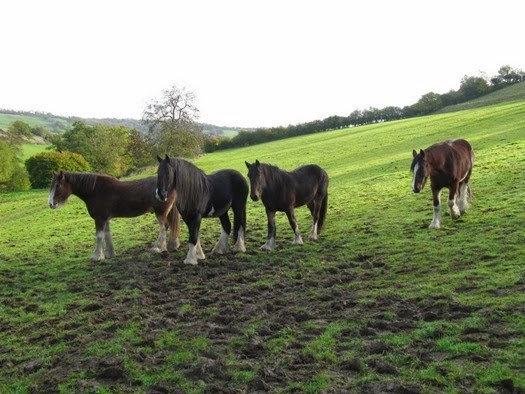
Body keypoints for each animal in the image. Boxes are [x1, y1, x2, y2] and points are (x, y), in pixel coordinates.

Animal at [49, 172, 180, 262]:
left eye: (58, 186)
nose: (51, 204)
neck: (95, 190)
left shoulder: (100, 219)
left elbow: (99, 236)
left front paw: (97, 256)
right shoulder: (105, 219)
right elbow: (107, 235)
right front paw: (109, 254)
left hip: (160, 212)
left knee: (163, 228)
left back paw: (158, 248)